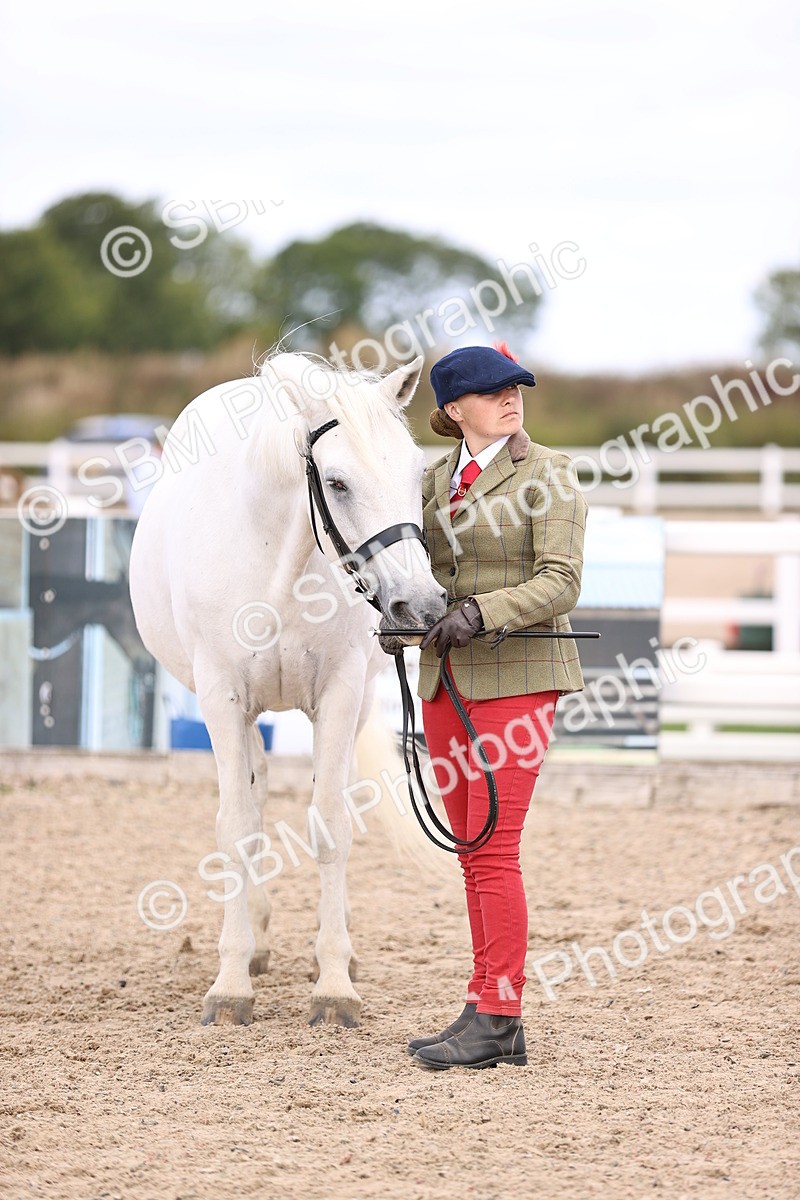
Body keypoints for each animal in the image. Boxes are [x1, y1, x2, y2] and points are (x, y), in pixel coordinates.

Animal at [129, 351, 446, 1028]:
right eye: (338, 483)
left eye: (416, 472)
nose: (422, 606)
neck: (278, 558)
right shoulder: (222, 698)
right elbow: (235, 827)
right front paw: (230, 983)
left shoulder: (341, 695)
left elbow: (330, 825)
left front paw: (334, 983)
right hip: (245, 716)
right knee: (254, 796)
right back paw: (255, 942)